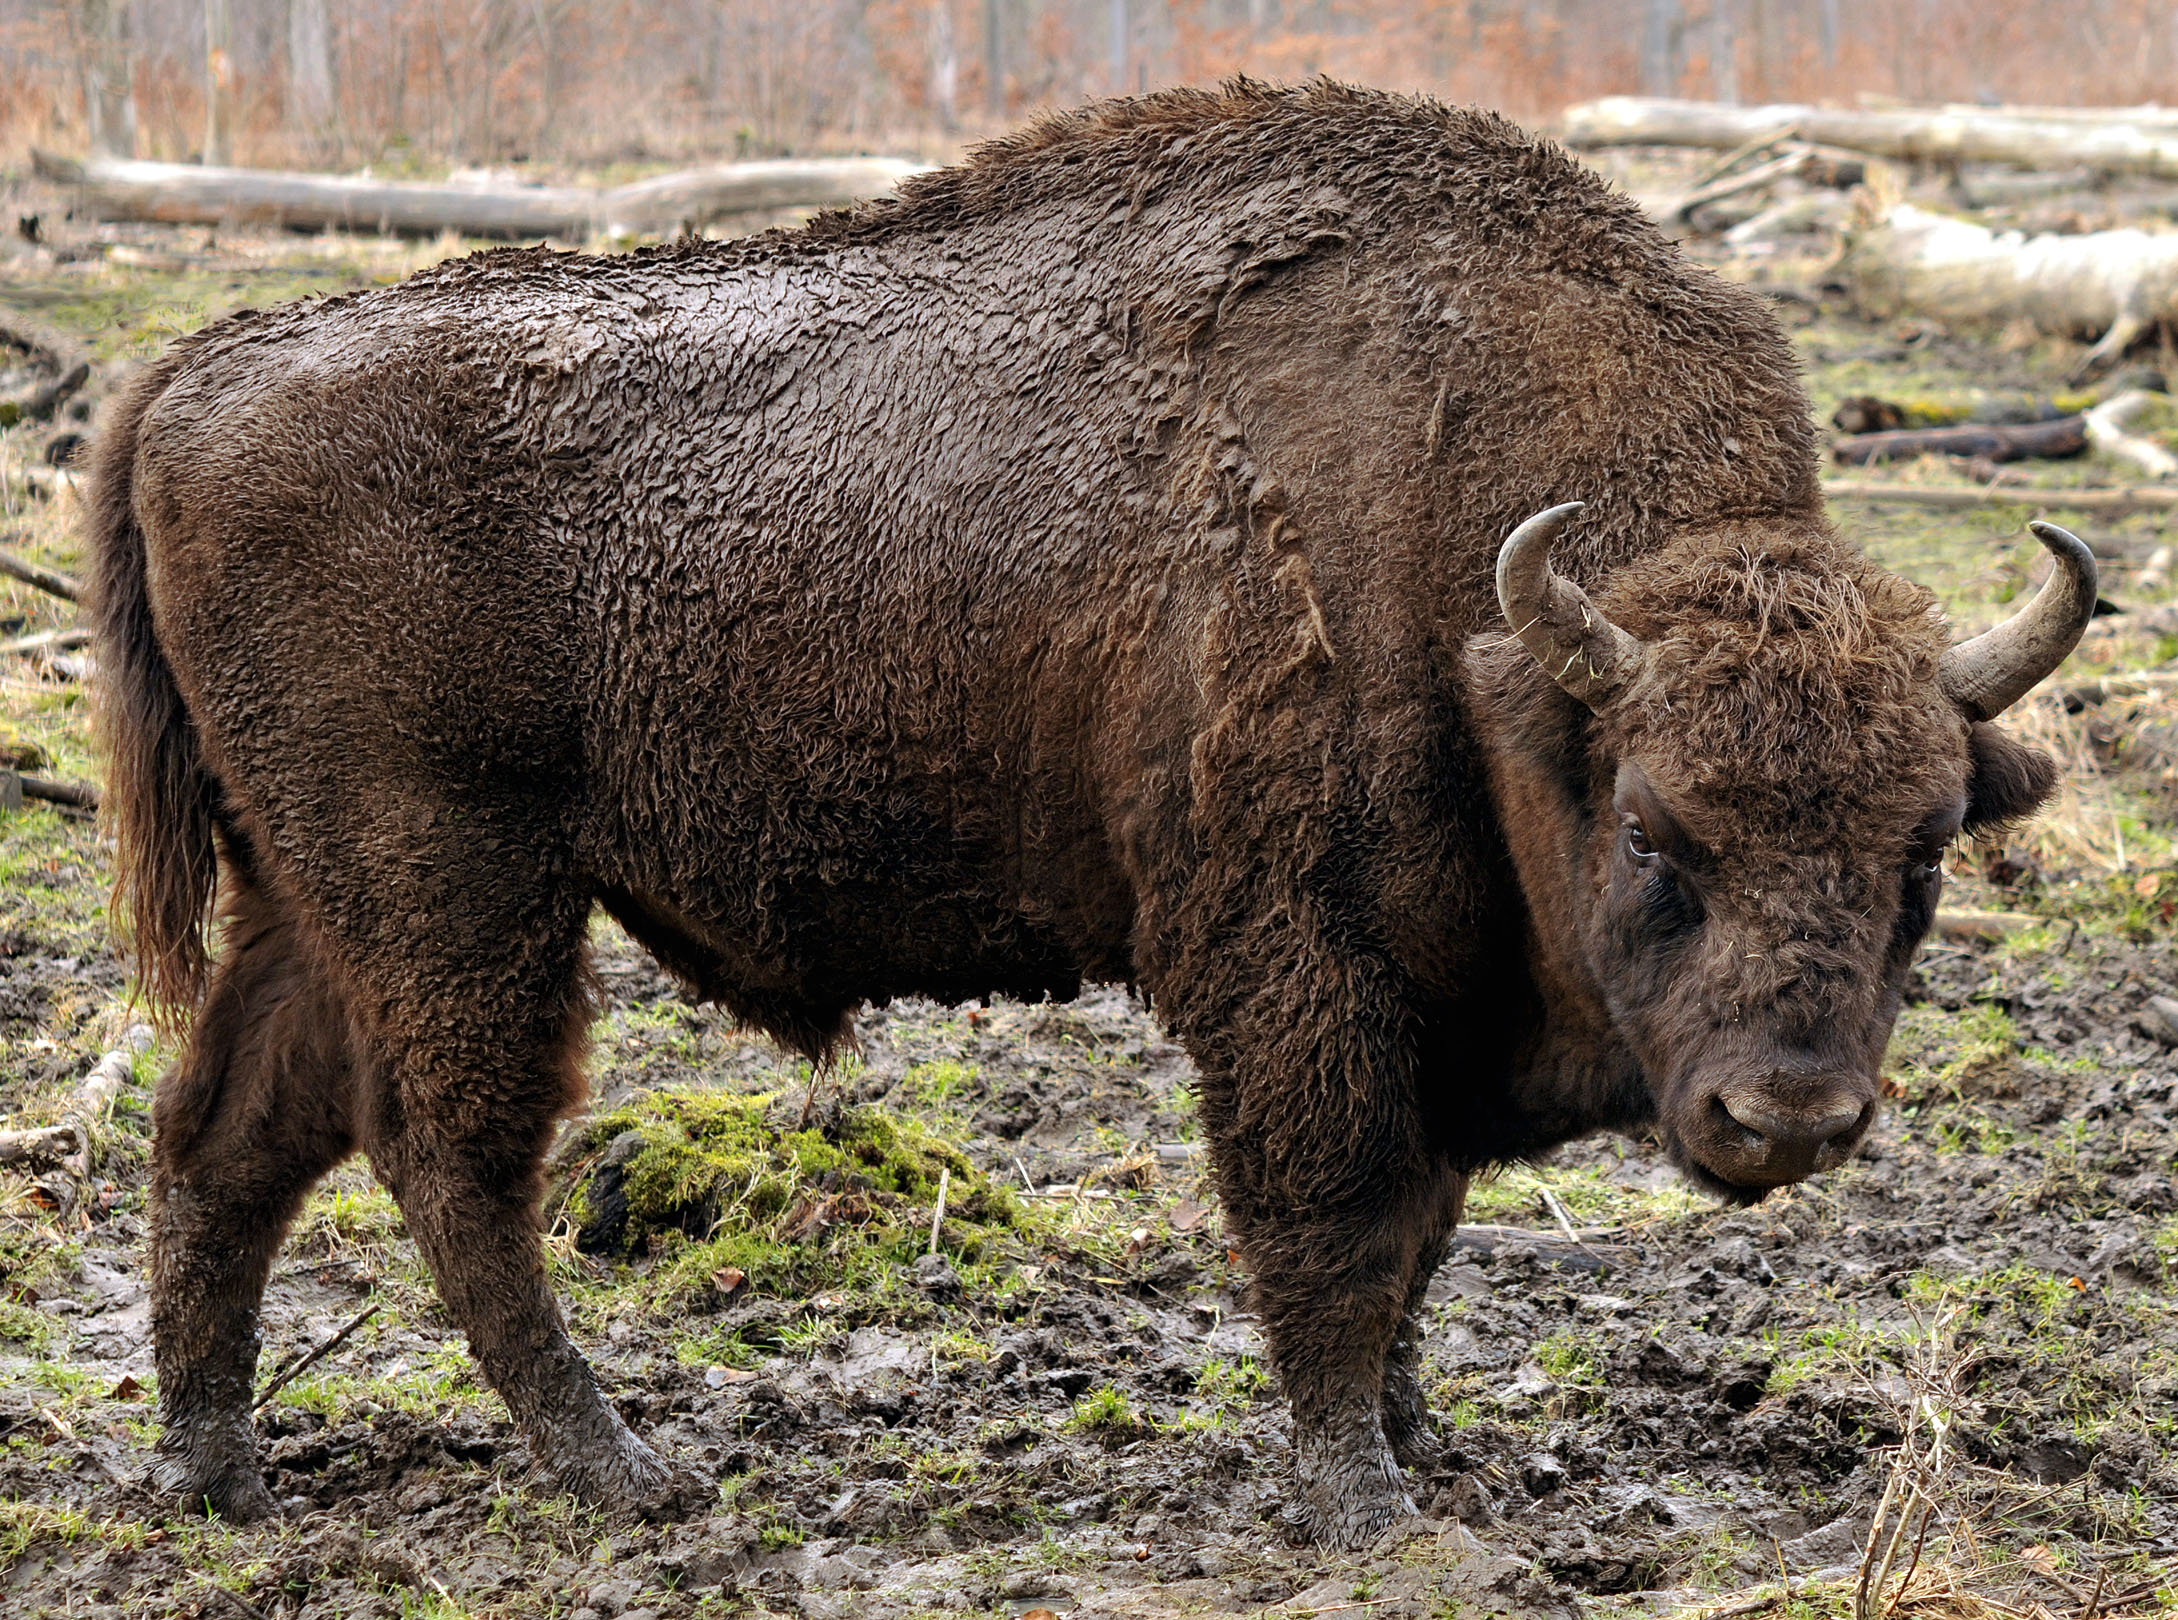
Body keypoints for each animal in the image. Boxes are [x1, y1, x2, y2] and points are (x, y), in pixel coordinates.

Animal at [91, 81, 2090, 1547]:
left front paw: (1422, 1445)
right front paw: (1364, 1503)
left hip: (313, 894)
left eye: (1923, 850)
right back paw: (626, 1474)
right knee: (446, 1157)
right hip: (457, 889)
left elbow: (1421, 1231)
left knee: (227, 1132)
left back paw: (214, 1471)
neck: (1492, 626)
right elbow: (1339, 1217)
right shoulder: (1299, 965)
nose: (1790, 1117)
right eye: (1660, 833)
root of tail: (191, 368)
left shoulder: (1428, 991)